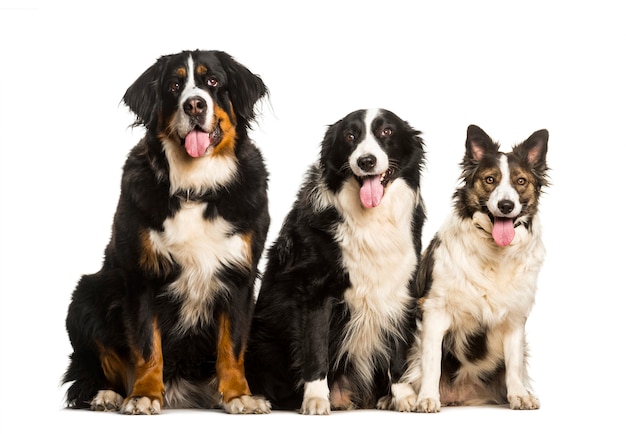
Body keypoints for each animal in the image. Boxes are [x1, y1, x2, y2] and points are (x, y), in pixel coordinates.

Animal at [61, 49, 272, 416]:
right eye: (174, 86)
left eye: (212, 81)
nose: (194, 105)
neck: (196, 188)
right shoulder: (141, 274)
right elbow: (148, 345)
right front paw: (144, 393)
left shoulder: (240, 277)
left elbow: (232, 347)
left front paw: (238, 395)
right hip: (85, 295)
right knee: (91, 369)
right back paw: (107, 395)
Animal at [244, 107, 424, 414]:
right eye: (350, 136)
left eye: (387, 131)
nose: (366, 161)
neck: (369, 218)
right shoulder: (316, 290)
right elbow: (316, 348)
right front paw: (315, 399)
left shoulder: (400, 288)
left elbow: (399, 350)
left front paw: (403, 396)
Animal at [404, 124, 544, 410]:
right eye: (490, 180)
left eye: (520, 181)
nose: (506, 206)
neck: (494, 254)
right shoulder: (434, 311)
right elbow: (431, 362)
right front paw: (427, 398)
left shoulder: (515, 318)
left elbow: (514, 362)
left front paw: (519, 395)